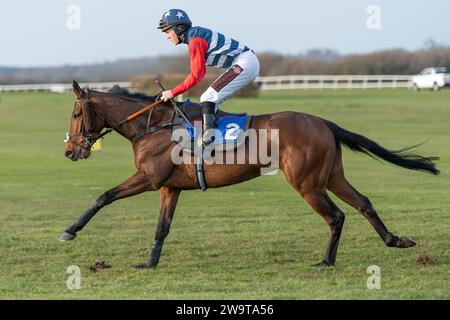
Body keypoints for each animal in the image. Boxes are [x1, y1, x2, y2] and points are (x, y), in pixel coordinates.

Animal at [61, 80, 438, 268]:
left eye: (76, 113)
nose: (70, 151)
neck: (153, 126)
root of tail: (324, 122)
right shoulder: (169, 187)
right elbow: (162, 228)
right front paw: (150, 263)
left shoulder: (149, 179)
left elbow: (104, 196)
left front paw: (70, 230)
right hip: (331, 176)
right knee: (362, 203)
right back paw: (395, 239)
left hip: (306, 183)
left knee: (336, 215)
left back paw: (326, 261)